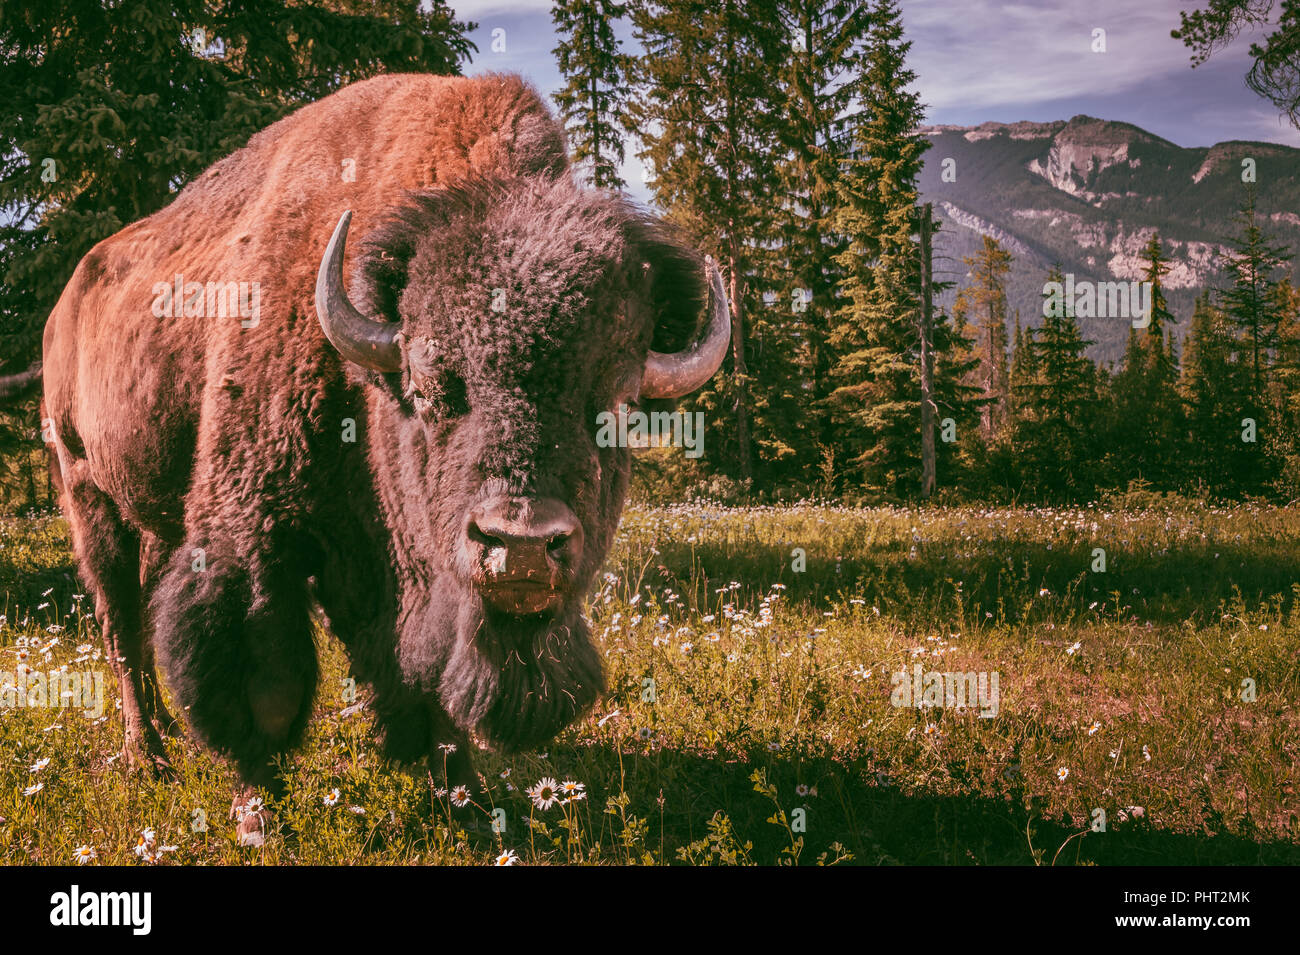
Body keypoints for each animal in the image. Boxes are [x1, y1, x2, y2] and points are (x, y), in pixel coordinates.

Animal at [38, 72, 733, 841]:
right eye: (429, 390)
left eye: (616, 406)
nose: (520, 546)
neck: (362, 386)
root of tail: (65, 303)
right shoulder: (250, 530)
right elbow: (262, 673)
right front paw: (258, 816)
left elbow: (425, 679)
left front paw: (470, 807)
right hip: (85, 489)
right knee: (122, 621)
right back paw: (149, 755)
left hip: (154, 517)